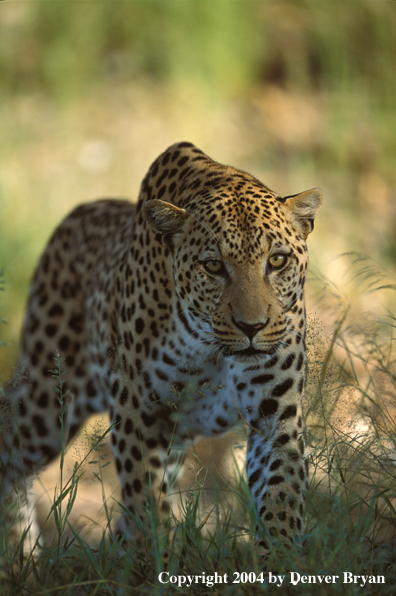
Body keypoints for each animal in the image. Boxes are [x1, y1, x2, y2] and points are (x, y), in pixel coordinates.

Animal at [0, 142, 322, 556]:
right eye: (213, 266)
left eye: (277, 260)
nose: (252, 328)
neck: (210, 346)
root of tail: (81, 209)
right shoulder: (136, 412)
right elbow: (146, 506)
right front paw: (154, 561)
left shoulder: (276, 416)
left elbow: (281, 496)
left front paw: (279, 563)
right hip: (48, 401)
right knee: (10, 442)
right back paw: (19, 551)